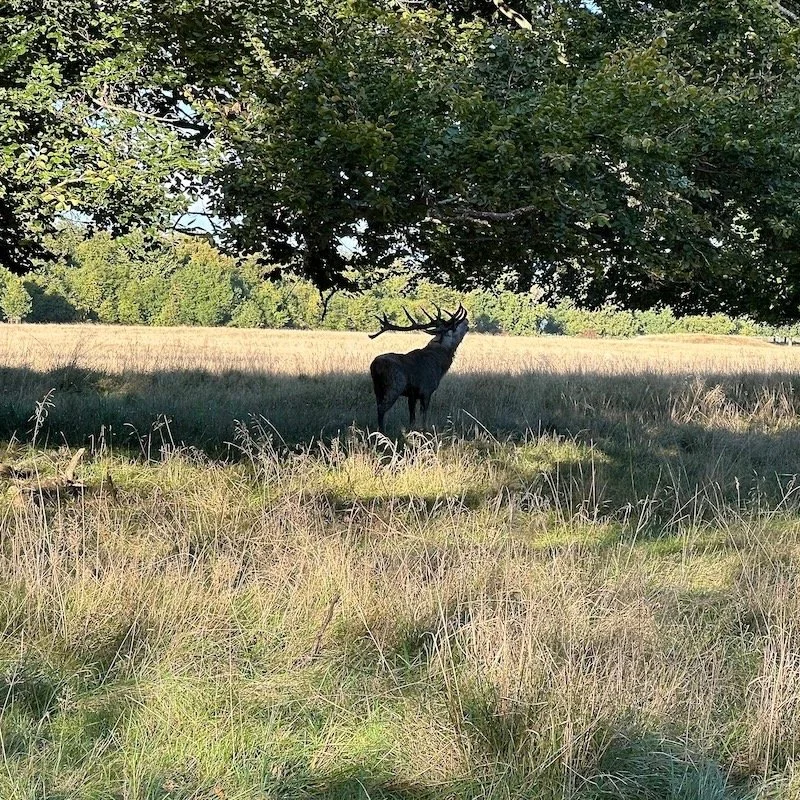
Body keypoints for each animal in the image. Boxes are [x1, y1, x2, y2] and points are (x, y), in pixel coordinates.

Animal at [369, 304, 469, 433]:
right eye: (455, 326)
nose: (466, 321)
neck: (440, 364)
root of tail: (375, 366)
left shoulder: (412, 395)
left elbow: (412, 417)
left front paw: (412, 431)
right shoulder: (426, 390)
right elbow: (424, 416)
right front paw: (424, 431)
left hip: (377, 389)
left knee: (378, 407)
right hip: (394, 386)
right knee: (382, 408)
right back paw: (382, 432)